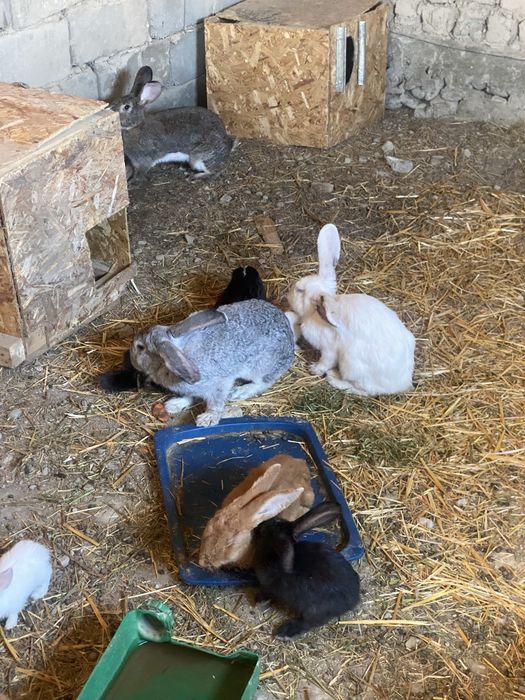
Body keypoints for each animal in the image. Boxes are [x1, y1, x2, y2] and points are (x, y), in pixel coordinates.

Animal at [129, 299, 295, 427]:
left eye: (140, 347)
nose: (130, 357)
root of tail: (290, 343)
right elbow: (188, 396)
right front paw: (173, 405)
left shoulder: (220, 384)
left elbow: (216, 403)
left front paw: (207, 419)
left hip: (259, 368)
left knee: (263, 383)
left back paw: (239, 392)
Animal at [252, 502, 360, 639]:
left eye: (264, 533)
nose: (256, 528)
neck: (273, 555)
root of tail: (353, 600)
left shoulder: (269, 587)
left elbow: (266, 593)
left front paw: (258, 601)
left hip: (313, 611)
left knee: (308, 623)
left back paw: (285, 632)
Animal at [287, 223, 415, 396]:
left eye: (300, 290)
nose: (287, 295)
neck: (315, 314)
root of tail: (402, 384)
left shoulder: (329, 349)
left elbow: (325, 361)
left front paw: (314, 369)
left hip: (351, 364)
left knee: (363, 390)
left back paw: (334, 378)